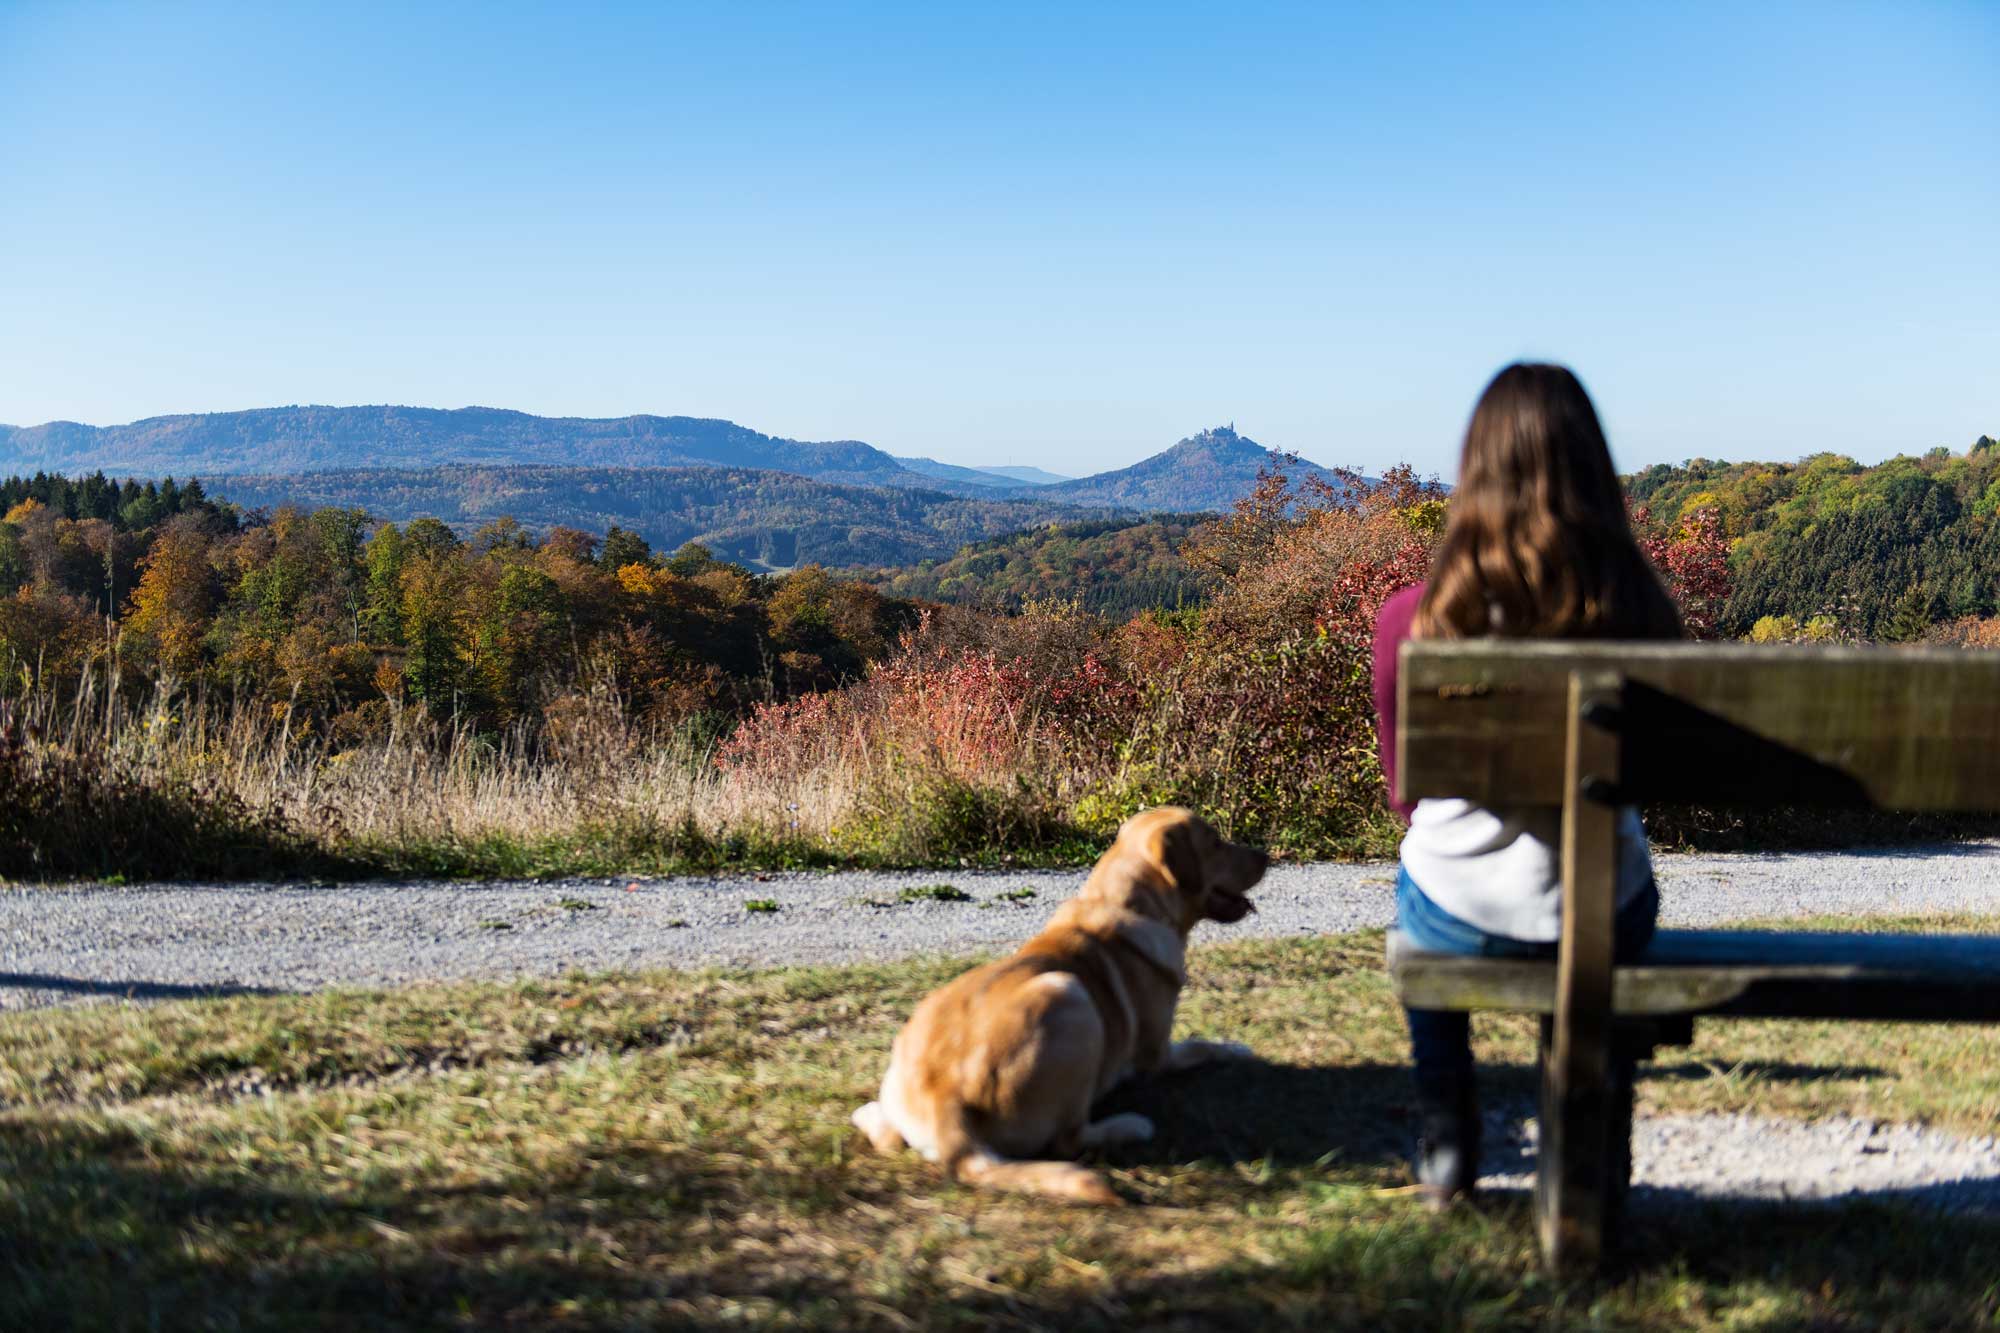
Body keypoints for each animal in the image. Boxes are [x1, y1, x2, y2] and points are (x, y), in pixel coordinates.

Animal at [848, 800, 1264, 1200]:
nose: (1266, 855)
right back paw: (1128, 1125)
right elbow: (1201, 1045)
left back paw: (869, 1113)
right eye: (1215, 843)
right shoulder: (1157, 1055)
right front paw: (1237, 1048)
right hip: (1070, 996)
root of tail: (946, 1101)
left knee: (886, 1135)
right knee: (1068, 1141)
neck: (1127, 904)